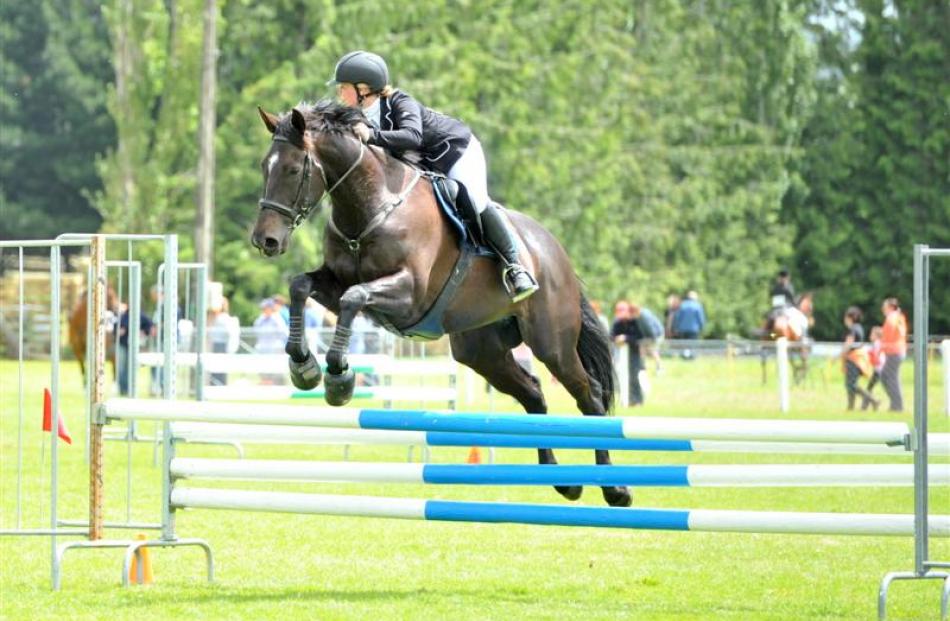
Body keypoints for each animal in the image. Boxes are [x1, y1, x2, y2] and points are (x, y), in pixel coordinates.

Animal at [251, 101, 632, 506]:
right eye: (264, 166)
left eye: (293, 169)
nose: (265, 241)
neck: (371, 204)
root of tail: (554, 250)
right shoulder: (336, 284)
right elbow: (300, 286)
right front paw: (303, 366)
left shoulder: (409, 295)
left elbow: (355, 298)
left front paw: (339, 377)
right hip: (481, 352)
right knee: (533, 394)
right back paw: (563, 481)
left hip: (551, 343)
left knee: (589, 396)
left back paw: (616, 489)